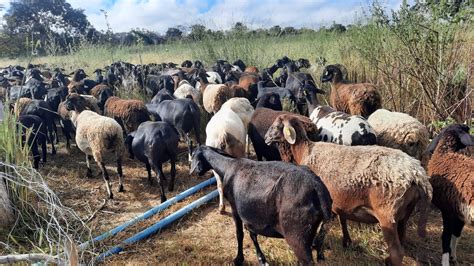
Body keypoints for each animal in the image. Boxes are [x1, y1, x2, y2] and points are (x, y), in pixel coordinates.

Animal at [190, 145, 334, 264]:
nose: (197, 172)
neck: (227, 166)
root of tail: (318, 188)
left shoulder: (235, 207)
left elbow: (239, 233)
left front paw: (238, 259)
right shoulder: (251, 216)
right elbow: (252, 234)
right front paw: (261, 259)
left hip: (297, 236)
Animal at [264, 113, 436, 264]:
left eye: (277, 125)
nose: (266, 138)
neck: (305, 151)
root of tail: (416, 173)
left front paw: (318, 248)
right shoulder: (340, 201)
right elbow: (341, 221)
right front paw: (345, 242)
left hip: (388, 216)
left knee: (397, 254)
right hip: (404, 214)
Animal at [426, 123, 474, 264]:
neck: (445, 153)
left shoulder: (447, 210)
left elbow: (446, 237)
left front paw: (446, 261)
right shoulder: (460, 214)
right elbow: (456, 234)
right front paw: (453, 258)